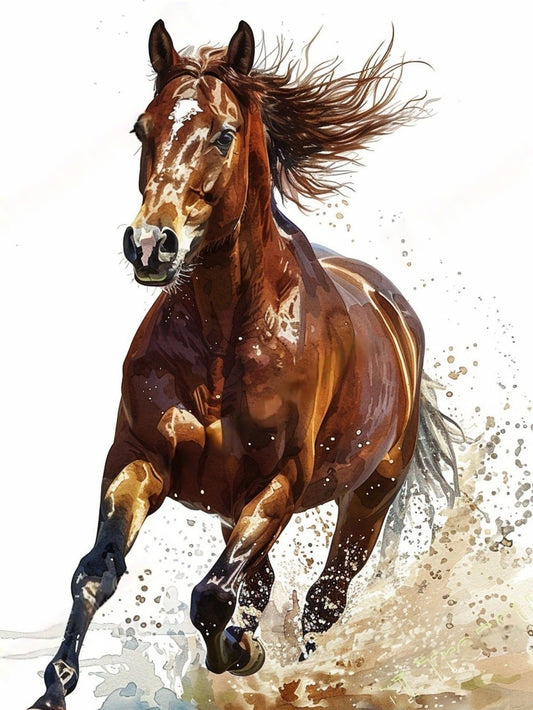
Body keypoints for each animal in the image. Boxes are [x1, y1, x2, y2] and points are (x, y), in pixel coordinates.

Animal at [30, 20, 458, 710]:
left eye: (224, 134)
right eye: (142, 129)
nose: (150, 244)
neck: (222, 345)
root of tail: (396, 313)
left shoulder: (279, 484)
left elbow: (211, 596)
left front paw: (242, 652)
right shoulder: (138, 461)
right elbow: (95, 574)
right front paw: (53, 688)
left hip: (369, 497)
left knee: (323, 600)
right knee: (262, 584)